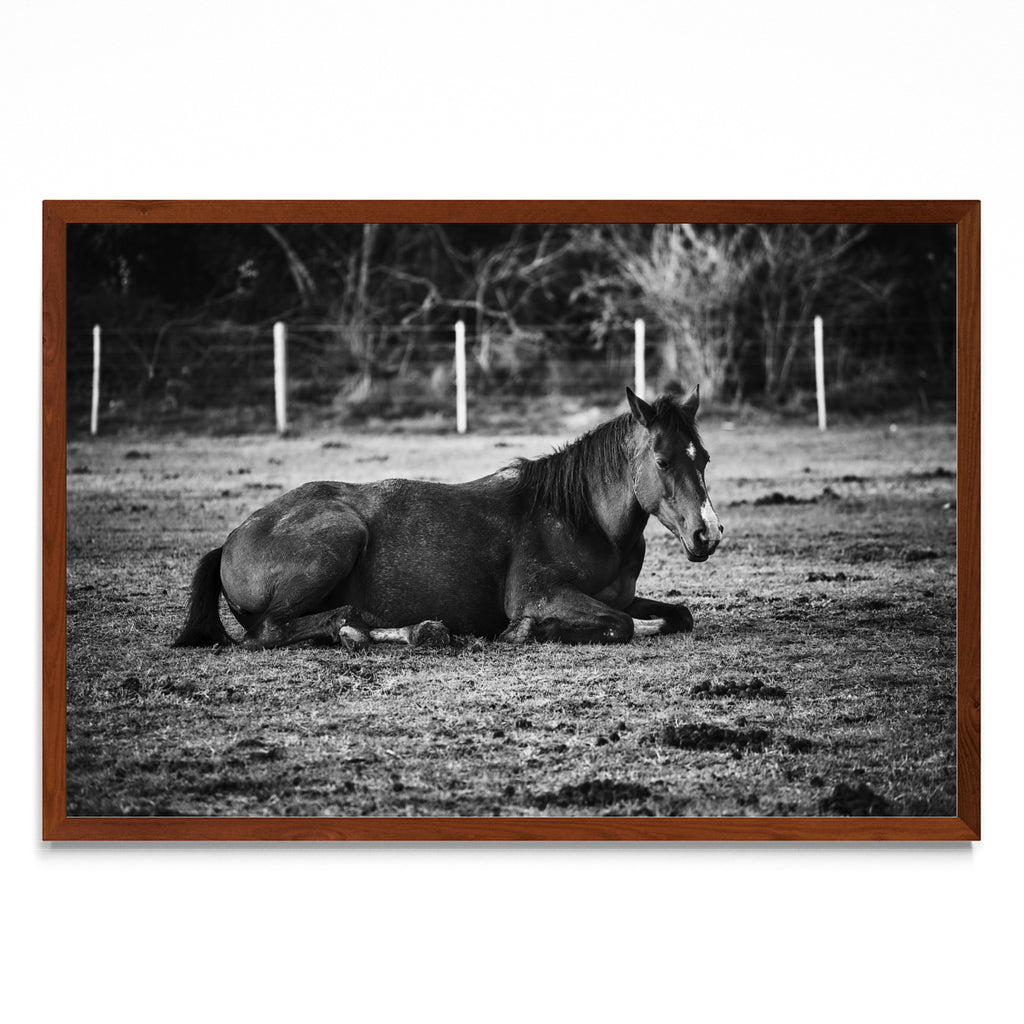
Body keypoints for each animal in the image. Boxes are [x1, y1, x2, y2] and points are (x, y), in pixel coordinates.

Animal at [173, 385, 723, 650]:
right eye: (662, 461)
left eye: (704, 458)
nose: (709, 534)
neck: (582, 520)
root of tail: (231, 539)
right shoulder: (540, 595)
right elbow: (620, 625)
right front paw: (525, 632)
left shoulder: (622, 597)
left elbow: (677, 614)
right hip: (339, 535)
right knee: (272, 631)